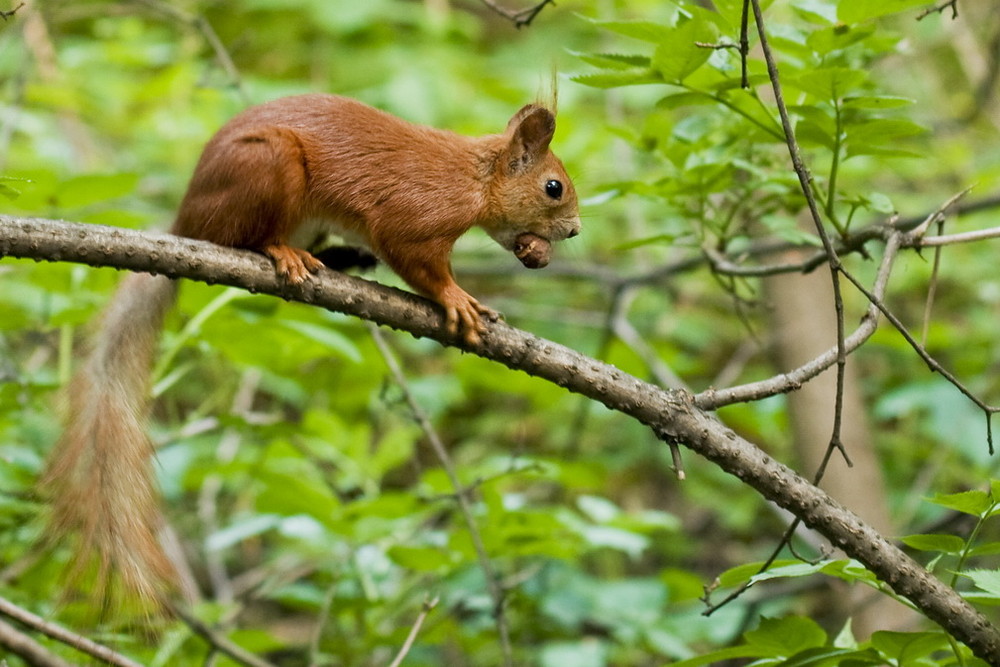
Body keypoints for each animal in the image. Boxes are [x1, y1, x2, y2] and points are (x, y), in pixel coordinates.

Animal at [43, 95, 584, 604]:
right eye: (553, 187)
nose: (575, 230)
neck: (475, 178)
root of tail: (184, 222)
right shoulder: (417, 213)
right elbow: (416, 259)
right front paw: (458, 298)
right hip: (266, 166)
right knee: (240, 237)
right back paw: (282, 251)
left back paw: (342, 256)